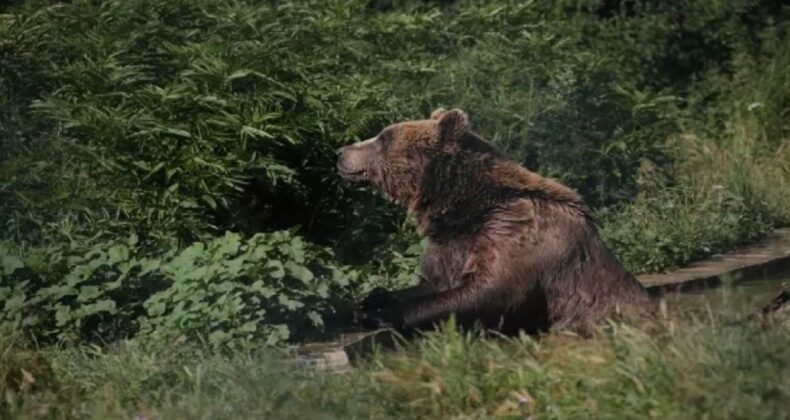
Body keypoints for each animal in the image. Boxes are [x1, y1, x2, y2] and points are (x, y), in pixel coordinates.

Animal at [338, 108, 660, 334]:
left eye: (383, 137)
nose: (340, 152)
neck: (464, 207)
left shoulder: (514, 232)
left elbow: (488, 289)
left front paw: (379, 313)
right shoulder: (450, 243)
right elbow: (434, 281)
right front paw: (371, 300)